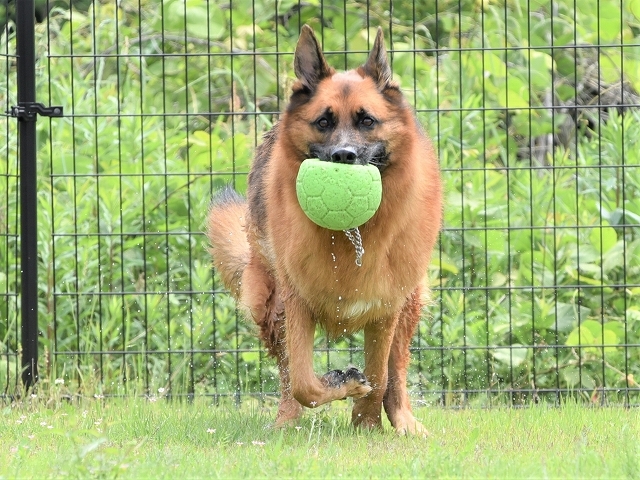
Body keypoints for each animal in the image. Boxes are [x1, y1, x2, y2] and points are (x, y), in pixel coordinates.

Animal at [208, 24, 442, 434]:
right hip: (268, 304)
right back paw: (286, 423)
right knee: (289, 379)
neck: (353, 235)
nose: (343, 157)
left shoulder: (385, 308)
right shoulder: (296, 302)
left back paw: (403, 421)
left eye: (367, 121)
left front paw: (366, 425)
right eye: (323, 122)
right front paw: (343, 383)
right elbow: (305, 383)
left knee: (396, 372)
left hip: (410, 302)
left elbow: (380, 374)